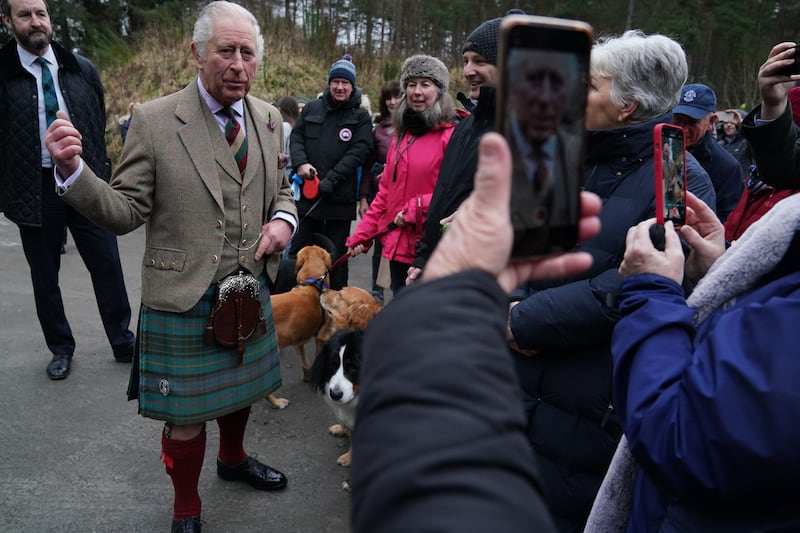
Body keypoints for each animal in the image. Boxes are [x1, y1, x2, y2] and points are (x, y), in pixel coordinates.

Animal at [268, 245, 332, 408]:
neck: (313, 284)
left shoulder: (298, 338)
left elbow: (304, 361)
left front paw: (307, 376)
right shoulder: (321, 338)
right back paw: (277, 402)